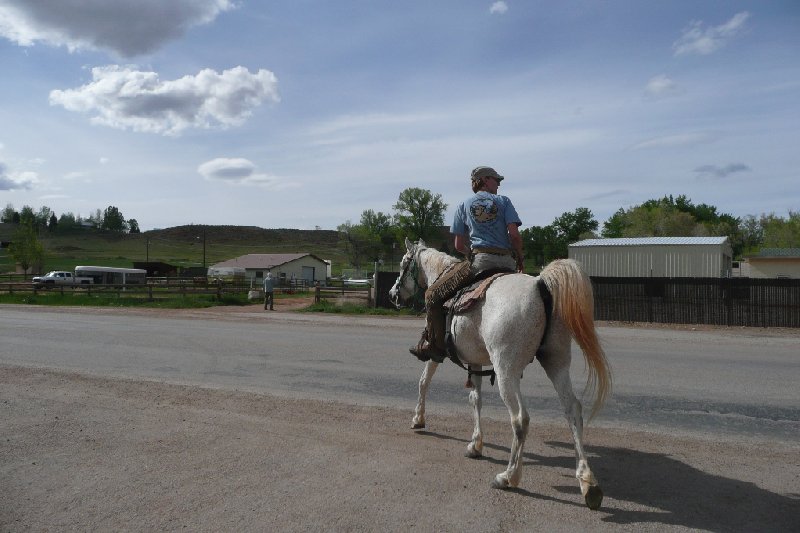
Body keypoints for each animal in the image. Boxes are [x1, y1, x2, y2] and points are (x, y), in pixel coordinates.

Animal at [390, 239, 612, 510]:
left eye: (403, 263)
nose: (392, 294)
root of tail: (540, 285)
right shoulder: (475, 361)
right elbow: (475, 399)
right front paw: (475, 445)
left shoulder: (436, 353)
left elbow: (424, 382)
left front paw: (418, 419)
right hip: (556, 363)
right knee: (573, 409)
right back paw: (588, 484)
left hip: (507, 370)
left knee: (520, 419)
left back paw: (509, 477)